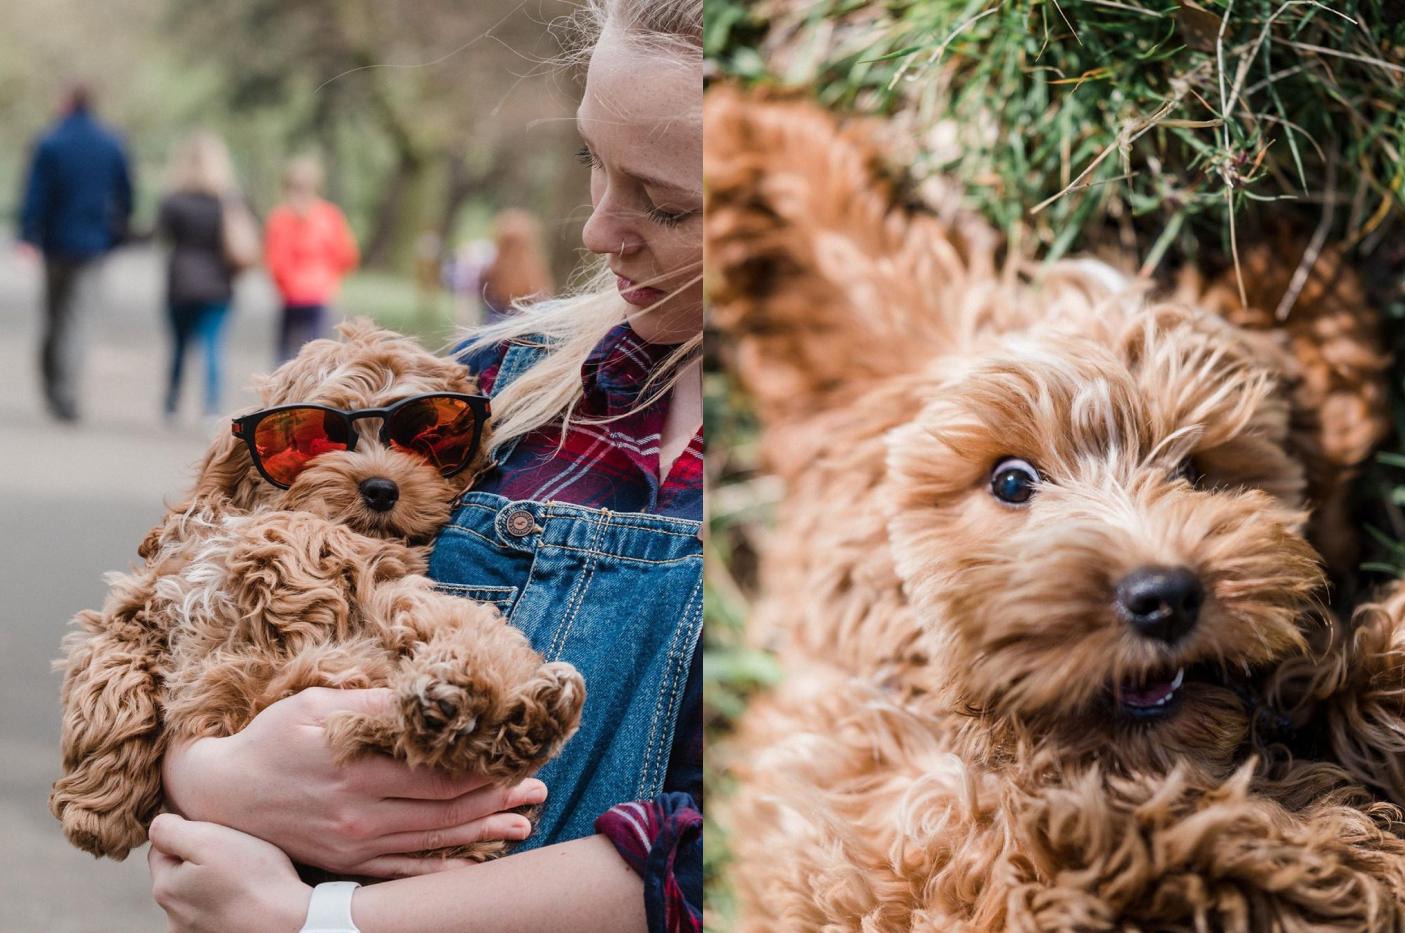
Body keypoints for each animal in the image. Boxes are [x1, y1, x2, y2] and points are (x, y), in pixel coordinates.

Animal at [54, 324, 581, 865]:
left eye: (427, 439)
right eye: (315, 437)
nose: (381, 488)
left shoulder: (379, 569)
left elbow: (295, 537)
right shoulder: (143, 601)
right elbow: (106, 667)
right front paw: (97, 807)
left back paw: (488, 707)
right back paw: (473, 714)